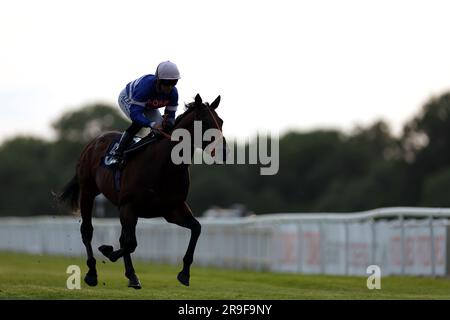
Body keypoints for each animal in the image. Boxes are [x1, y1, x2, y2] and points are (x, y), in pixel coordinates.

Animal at [57, 94, 224, 288]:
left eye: (221, 121)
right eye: (204, 122)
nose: (224, 151)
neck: (164, 166)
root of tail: (94, 142)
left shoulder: (171, 209)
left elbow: (196, 228)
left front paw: (184, 273)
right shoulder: (129, 207)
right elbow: (130, 243)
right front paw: (107, 250)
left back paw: (132, 276)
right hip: (88, 191)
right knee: (87, 231)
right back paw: (92, 273)